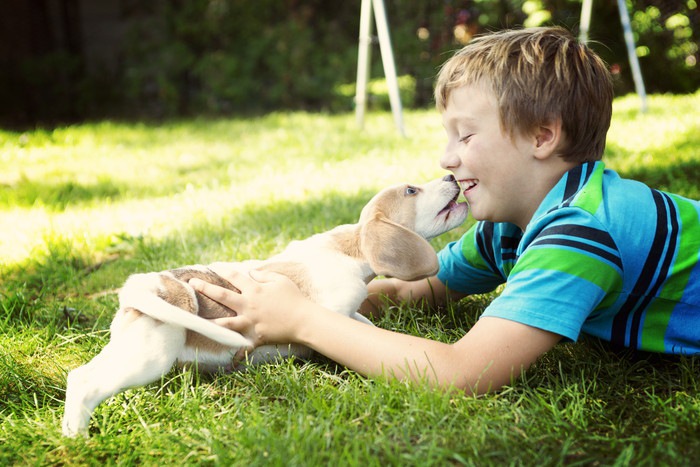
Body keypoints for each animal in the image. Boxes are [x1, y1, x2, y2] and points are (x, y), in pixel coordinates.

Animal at [63, 175, 468, 436]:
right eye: (411, 190)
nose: (451, 174)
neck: (350, 249)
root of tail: (145, 285)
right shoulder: (333, 314)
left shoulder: (351, 314)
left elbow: (368, 326)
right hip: (150, 355)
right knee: (86, 383)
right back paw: (77, 439)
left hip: (132, 349)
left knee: (79, 376)